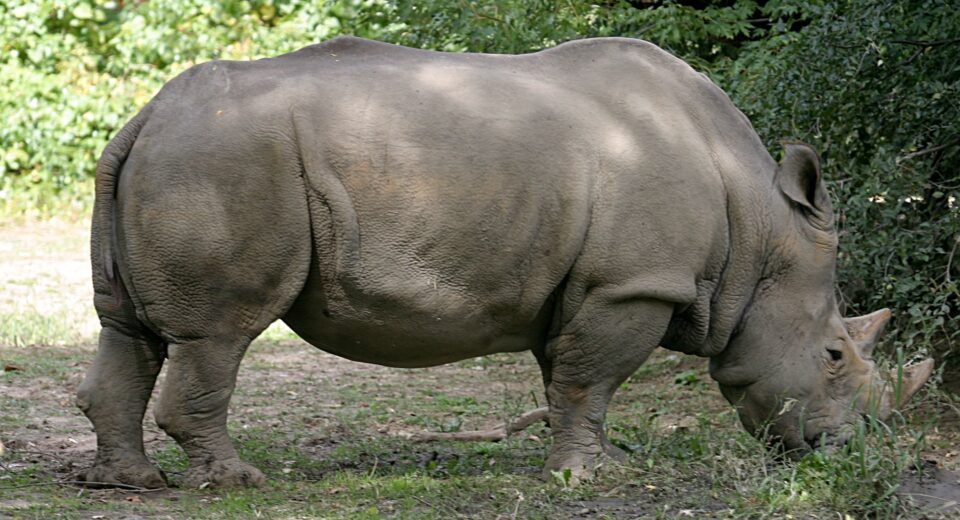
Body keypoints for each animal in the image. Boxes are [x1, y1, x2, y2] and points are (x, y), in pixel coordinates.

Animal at [77, 36, 933, 489]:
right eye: (834, 354)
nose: (852, 451)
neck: (760, 232)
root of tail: (146, 115)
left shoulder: (582, 284)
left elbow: (569, 382)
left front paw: (590, 462)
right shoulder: (632, 286)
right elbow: (591, 380)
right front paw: (591, 479)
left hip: (180, 157)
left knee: (129, 331)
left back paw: (133, 484)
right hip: (224, 164)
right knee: (219, 333)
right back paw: (237, 482)